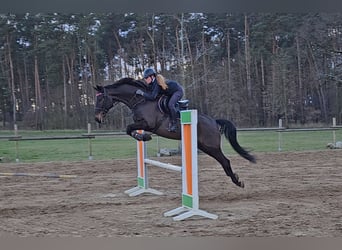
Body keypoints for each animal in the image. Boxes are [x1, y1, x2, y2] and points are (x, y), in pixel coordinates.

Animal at [93, 77, 254, 188]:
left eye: (101, 99)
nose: (97, 118)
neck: (141, 100)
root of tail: (214, 121)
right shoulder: (142, 124)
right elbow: (129, 129)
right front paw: (143, 137)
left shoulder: (148, 124)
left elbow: (128, 128)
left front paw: (144, 137)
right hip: (204, 147)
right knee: (223, 161)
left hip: (211, 146)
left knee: (225, 161)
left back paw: (237, 182)